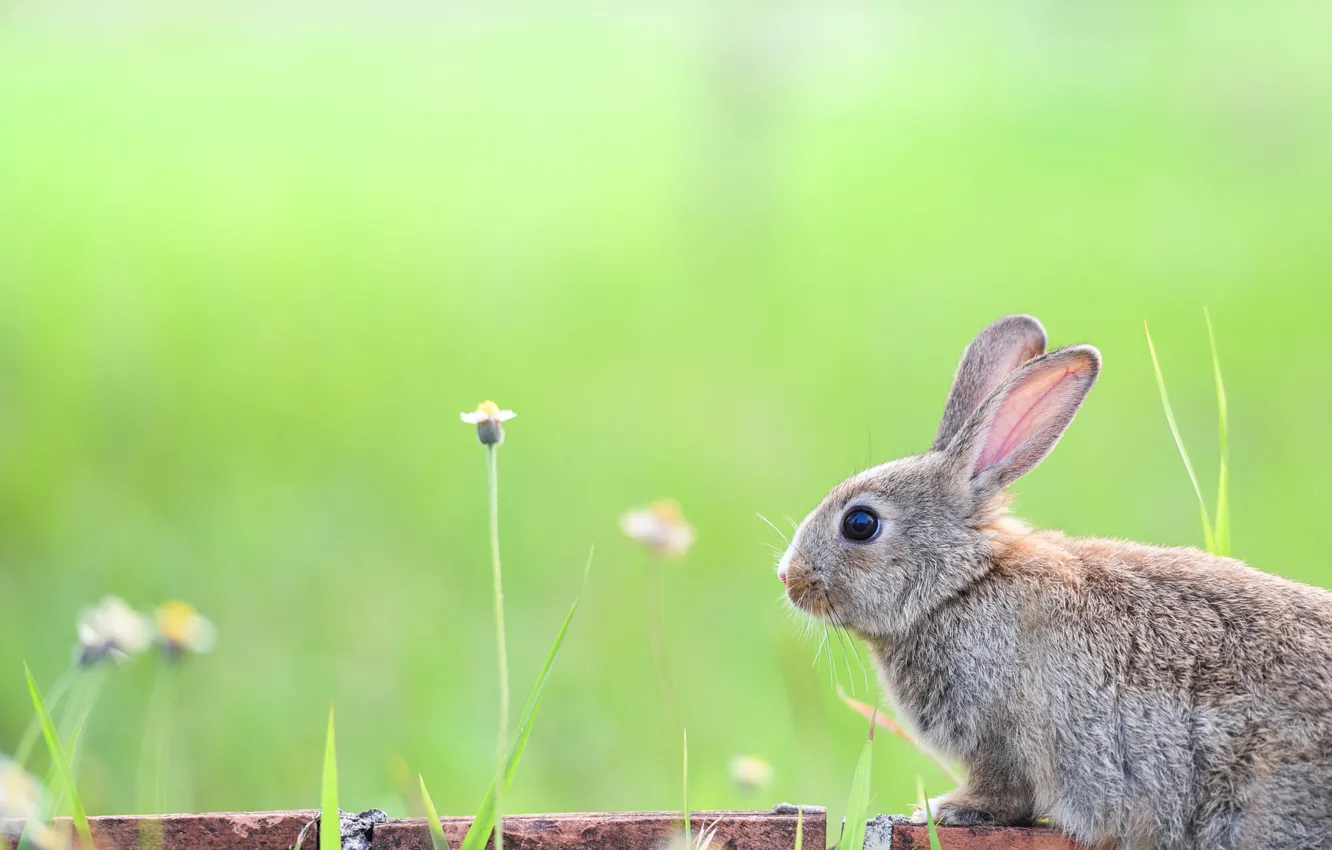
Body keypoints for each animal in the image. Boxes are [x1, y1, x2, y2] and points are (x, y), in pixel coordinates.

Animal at [777, 317, 1332, 850]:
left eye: (860, 523)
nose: (789, 577)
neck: (959, 585)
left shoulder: (1003, 739)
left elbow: (1003, 793)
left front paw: (944, 810)